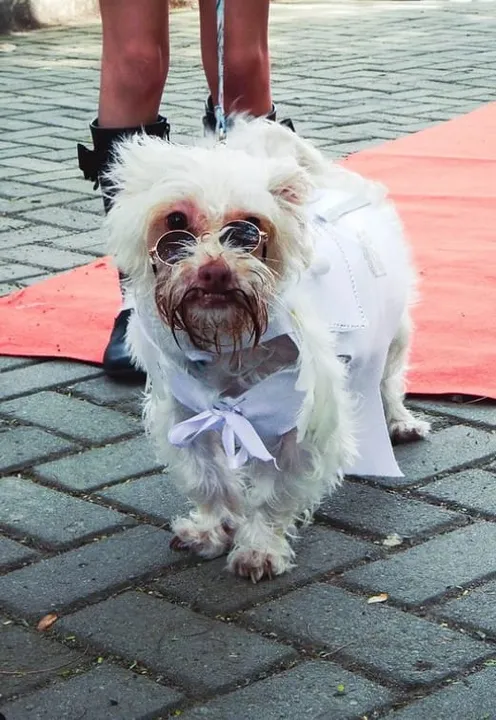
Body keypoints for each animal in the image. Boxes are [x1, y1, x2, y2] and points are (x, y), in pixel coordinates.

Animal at [102, 116, 428, 580]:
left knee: (388, 382)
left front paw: (259, 547)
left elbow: (273, 493)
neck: (228, 341)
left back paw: (400, 422)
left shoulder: (296, 423)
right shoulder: (186, 414)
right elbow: (208, 478)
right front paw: (213, 528)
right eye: (175, 221)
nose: (215, 271)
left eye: (249, 229)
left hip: (393, 335)